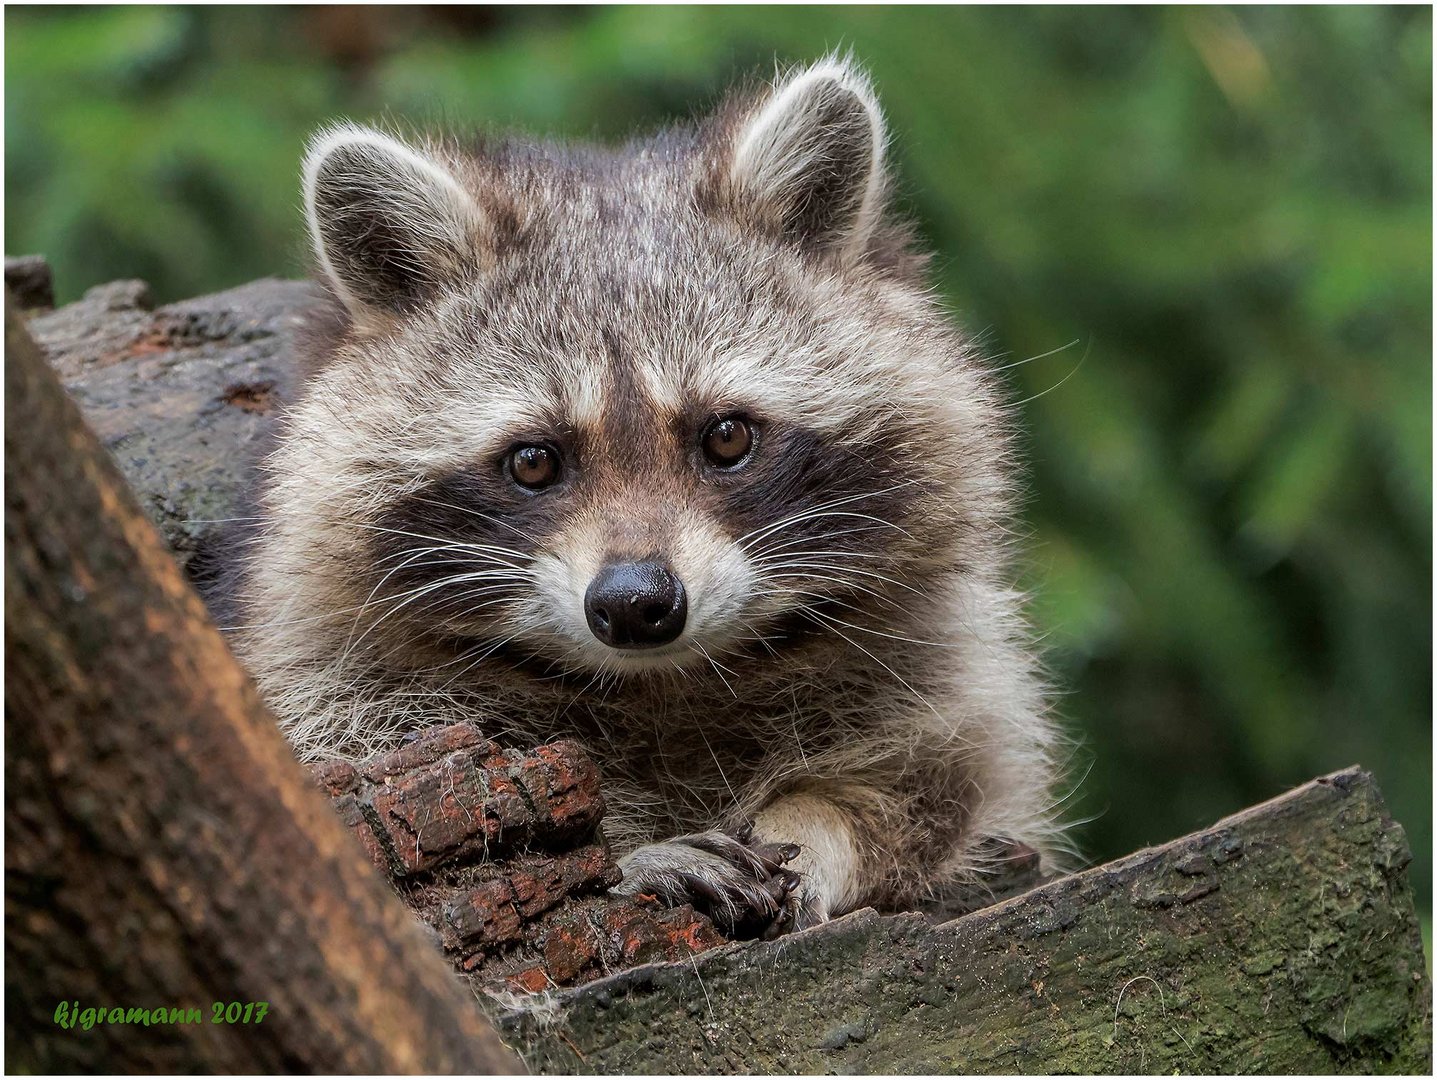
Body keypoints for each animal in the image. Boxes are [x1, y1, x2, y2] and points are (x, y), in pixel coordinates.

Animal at [229, 58, 1069, 936]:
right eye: (534, 461)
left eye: (726, 437)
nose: (635, 604)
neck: (662, 683)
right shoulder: (344, 693)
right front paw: (634, 856)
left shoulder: (938, 673)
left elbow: (938, 783)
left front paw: (816, 821)